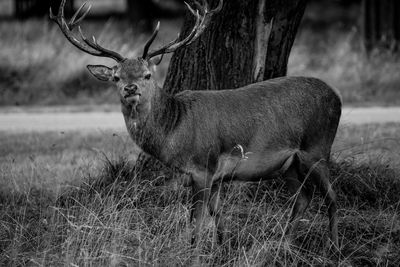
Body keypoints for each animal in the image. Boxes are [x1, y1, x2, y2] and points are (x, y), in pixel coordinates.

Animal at [50, 0, 340, 249]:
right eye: (117, 77)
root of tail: (336, 97)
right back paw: (284, 243)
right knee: (303, 198)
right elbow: (216, 212)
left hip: (317, 146)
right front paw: (225, 245)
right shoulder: (213, 174)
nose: (131, 88)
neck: (176, 131)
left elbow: (196, 220)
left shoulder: (204, 165)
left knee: (332, 197)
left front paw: (195, 251)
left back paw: (333, 246)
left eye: (147, 74)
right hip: (290, 165)